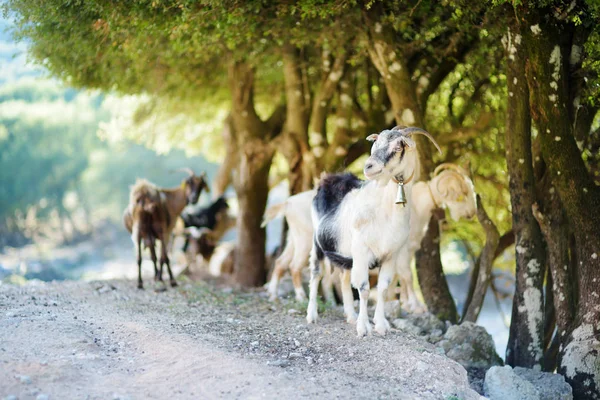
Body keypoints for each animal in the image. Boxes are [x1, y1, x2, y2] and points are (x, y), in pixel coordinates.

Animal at [308, 126, 438, 336]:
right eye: (375, 144)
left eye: (398, 146)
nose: (368, 166)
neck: (385, 211)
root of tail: (329, 177)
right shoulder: (363, 250)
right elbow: (364, 289)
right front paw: (363, 328)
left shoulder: (391, 254)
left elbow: (383, 289)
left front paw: (381, 325)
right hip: (317, 243)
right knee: (316, 274)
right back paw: (312, 315)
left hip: (345, 251)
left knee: (344, 279)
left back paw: (350, 316)